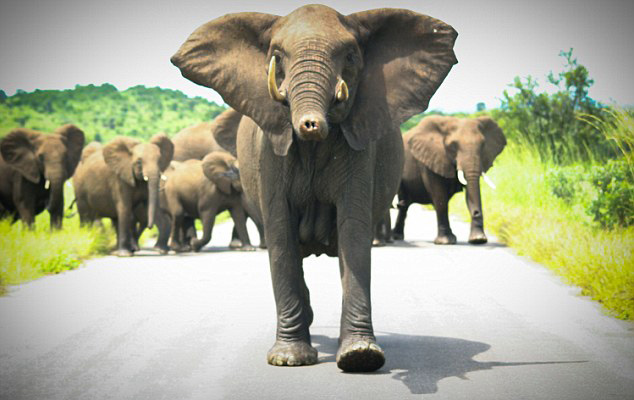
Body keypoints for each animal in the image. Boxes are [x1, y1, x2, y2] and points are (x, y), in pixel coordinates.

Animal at [170, 3, 456, 372]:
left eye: (350, 56)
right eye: (276, 57)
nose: (310, 124)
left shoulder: (359, 147)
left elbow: (353, 232)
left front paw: (360, 356)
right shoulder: (269, 150)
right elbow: (280, 236)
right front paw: (289, 359)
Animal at [390, 115, 504, 244]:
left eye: (483, 145)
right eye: (453, 146)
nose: (476, 213)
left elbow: (469, 193)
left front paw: (478, 239)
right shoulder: (428, 158)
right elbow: (440, 198)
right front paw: (446, 241)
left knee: (404, 205)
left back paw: (396, 236)